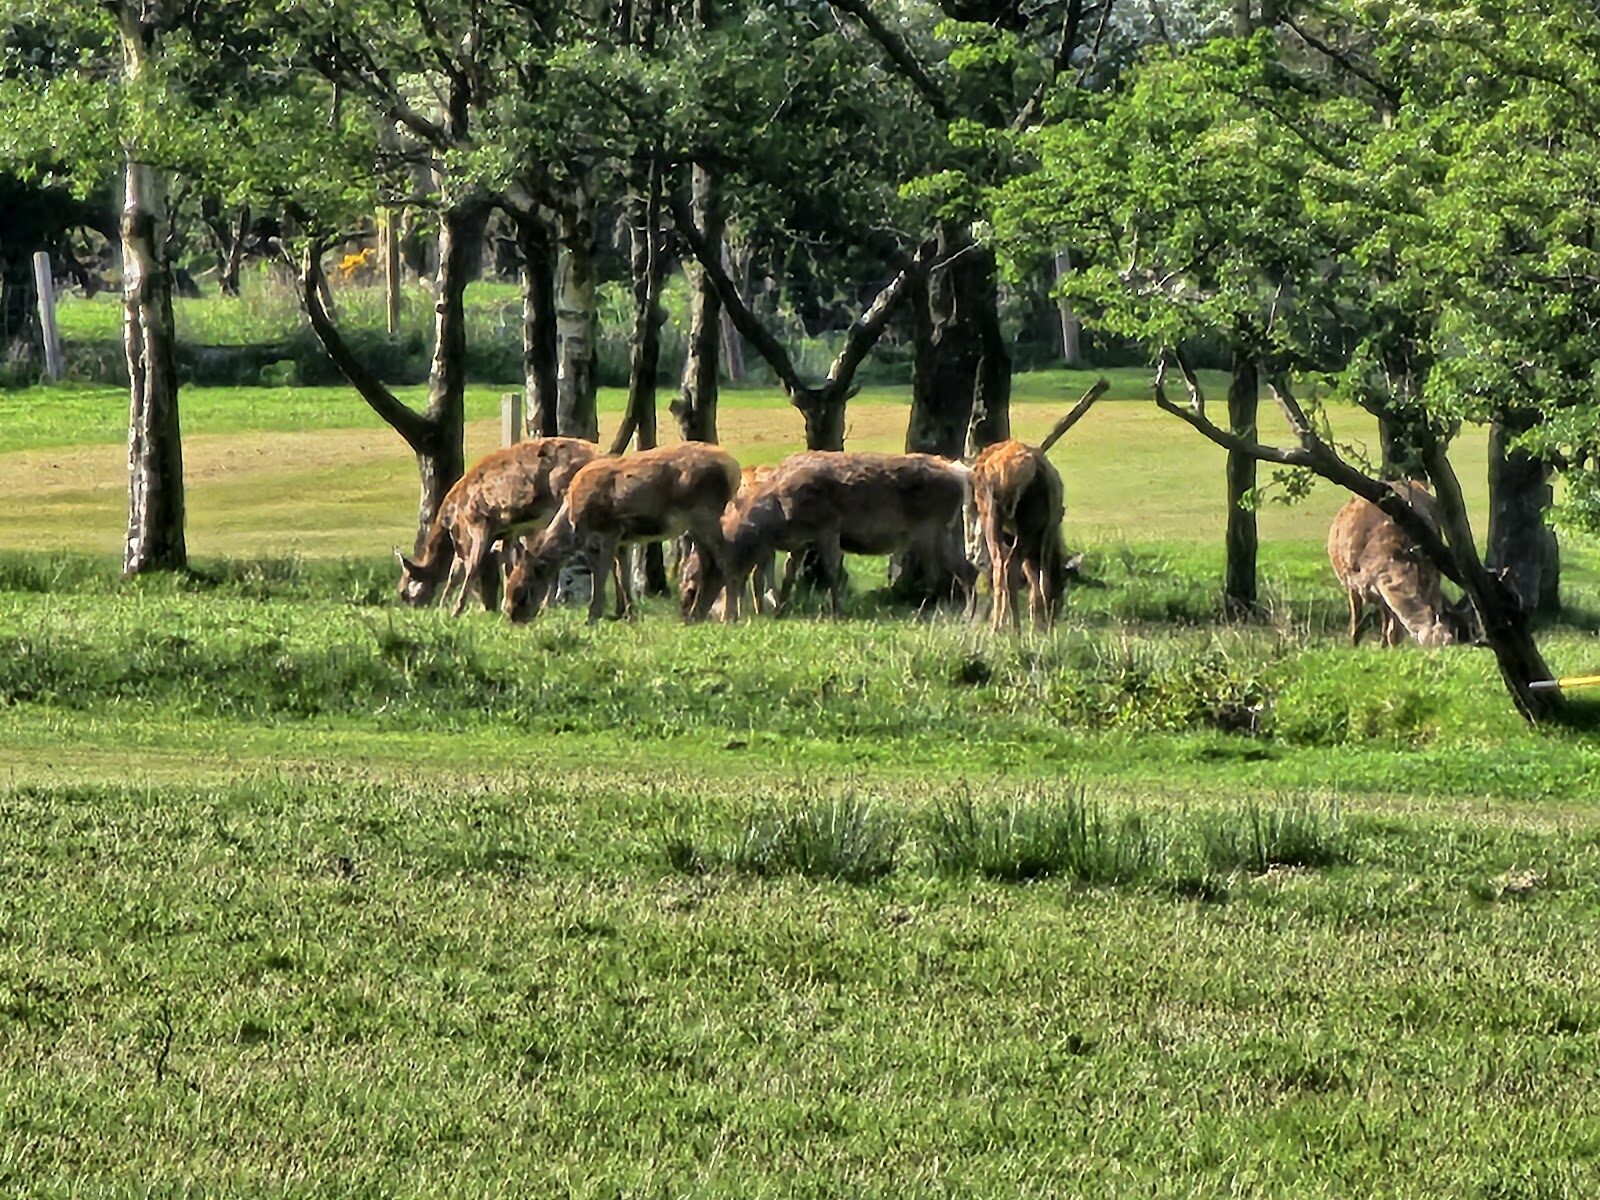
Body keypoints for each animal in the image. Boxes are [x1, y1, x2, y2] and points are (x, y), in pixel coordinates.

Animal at [396, 437, 603, 616]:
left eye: (403, 591)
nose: (412, 610)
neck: (449, 520)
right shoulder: (507, 531)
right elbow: (504, 565)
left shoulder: (477, 522)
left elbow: (468, 569)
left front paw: (455, 611)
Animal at [504, 442, 742, 624]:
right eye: (507, 588)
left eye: (522, 590)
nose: (513, 617)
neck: (573, 523)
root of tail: (734, 469)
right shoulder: (623, 540)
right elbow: (621, 573)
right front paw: (629, 614)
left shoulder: (608, 532)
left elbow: (601, 574)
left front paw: (593, 617)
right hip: (697, 524)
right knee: (709, 563)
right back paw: (695, 616)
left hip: (705, 514)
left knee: (726, 558)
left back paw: (729, 616)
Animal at [695, 451, 977, 619]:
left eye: (713, 568)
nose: (696, 614)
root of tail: (961, 474)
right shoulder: (800, 542)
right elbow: (788, 574)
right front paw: (780, 608)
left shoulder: (828, 528)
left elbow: (832, 572)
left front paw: (836, 611)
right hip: (948, 529)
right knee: (966, 570)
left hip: (929, 529)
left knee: (943, 573)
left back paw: (938, 612)